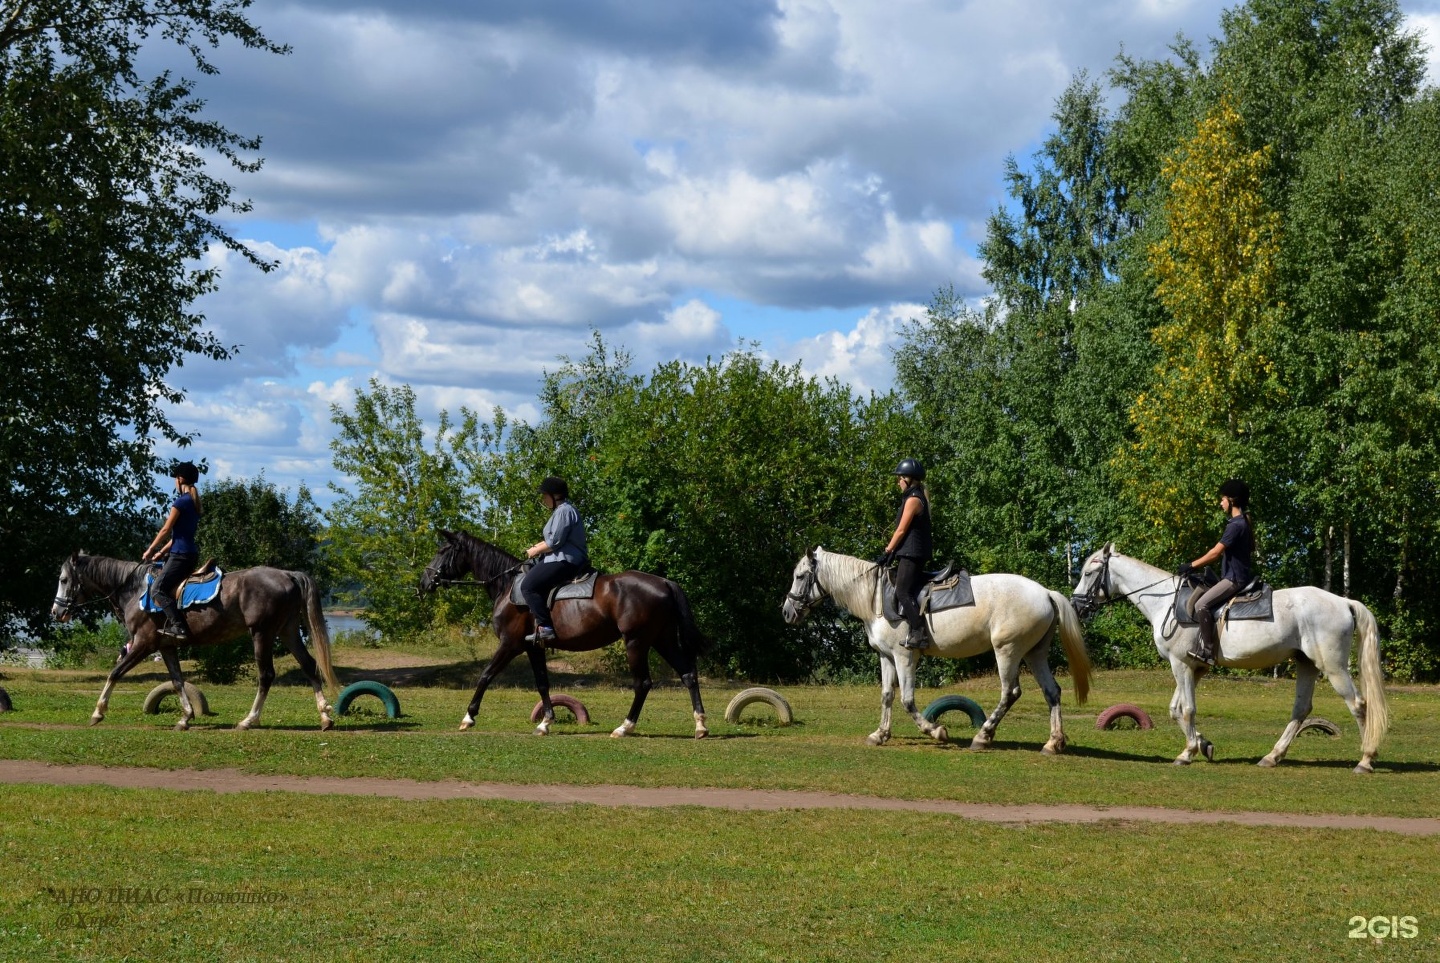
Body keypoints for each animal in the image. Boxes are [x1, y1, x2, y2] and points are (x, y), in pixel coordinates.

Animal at [52, 546, 338, 728]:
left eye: (64, 579)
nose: (57, 612)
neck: (133, 589)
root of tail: (287, 574)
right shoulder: (166, 647)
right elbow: (177, 680)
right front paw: (186, 717)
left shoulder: (143, 644)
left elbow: (115, 673)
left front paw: (98, 712)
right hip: (287, 631)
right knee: (309, 666)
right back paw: (324, 717)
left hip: (262, 633)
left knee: (266, 675)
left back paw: (249, 720)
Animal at [420, 529, 711, 731]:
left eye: (443, 550)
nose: (424, 582)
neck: (506, 584)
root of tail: (664, 582)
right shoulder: (533, 647)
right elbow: (542, 683)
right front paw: (546, 722)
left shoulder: (510, 644)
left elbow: (485, 676)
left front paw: (468, 717)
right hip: (661, 639)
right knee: (688, 674)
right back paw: (700, 724)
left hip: (636, 642)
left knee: (643, 683)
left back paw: (624, 727)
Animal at [789, 546, 1088, 748]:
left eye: (801, 576)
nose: (786, 612)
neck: (875, 597)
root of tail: (1046, 593)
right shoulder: (886, 657)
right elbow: (887, 695)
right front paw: (880, 734)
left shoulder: (905, 656)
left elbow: (907, 700)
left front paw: (935, 731)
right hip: (1034, 653)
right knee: (1052, 691)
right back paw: (1053, 742)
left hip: (1008, 650)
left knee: (1010, 692)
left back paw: (983, 736)